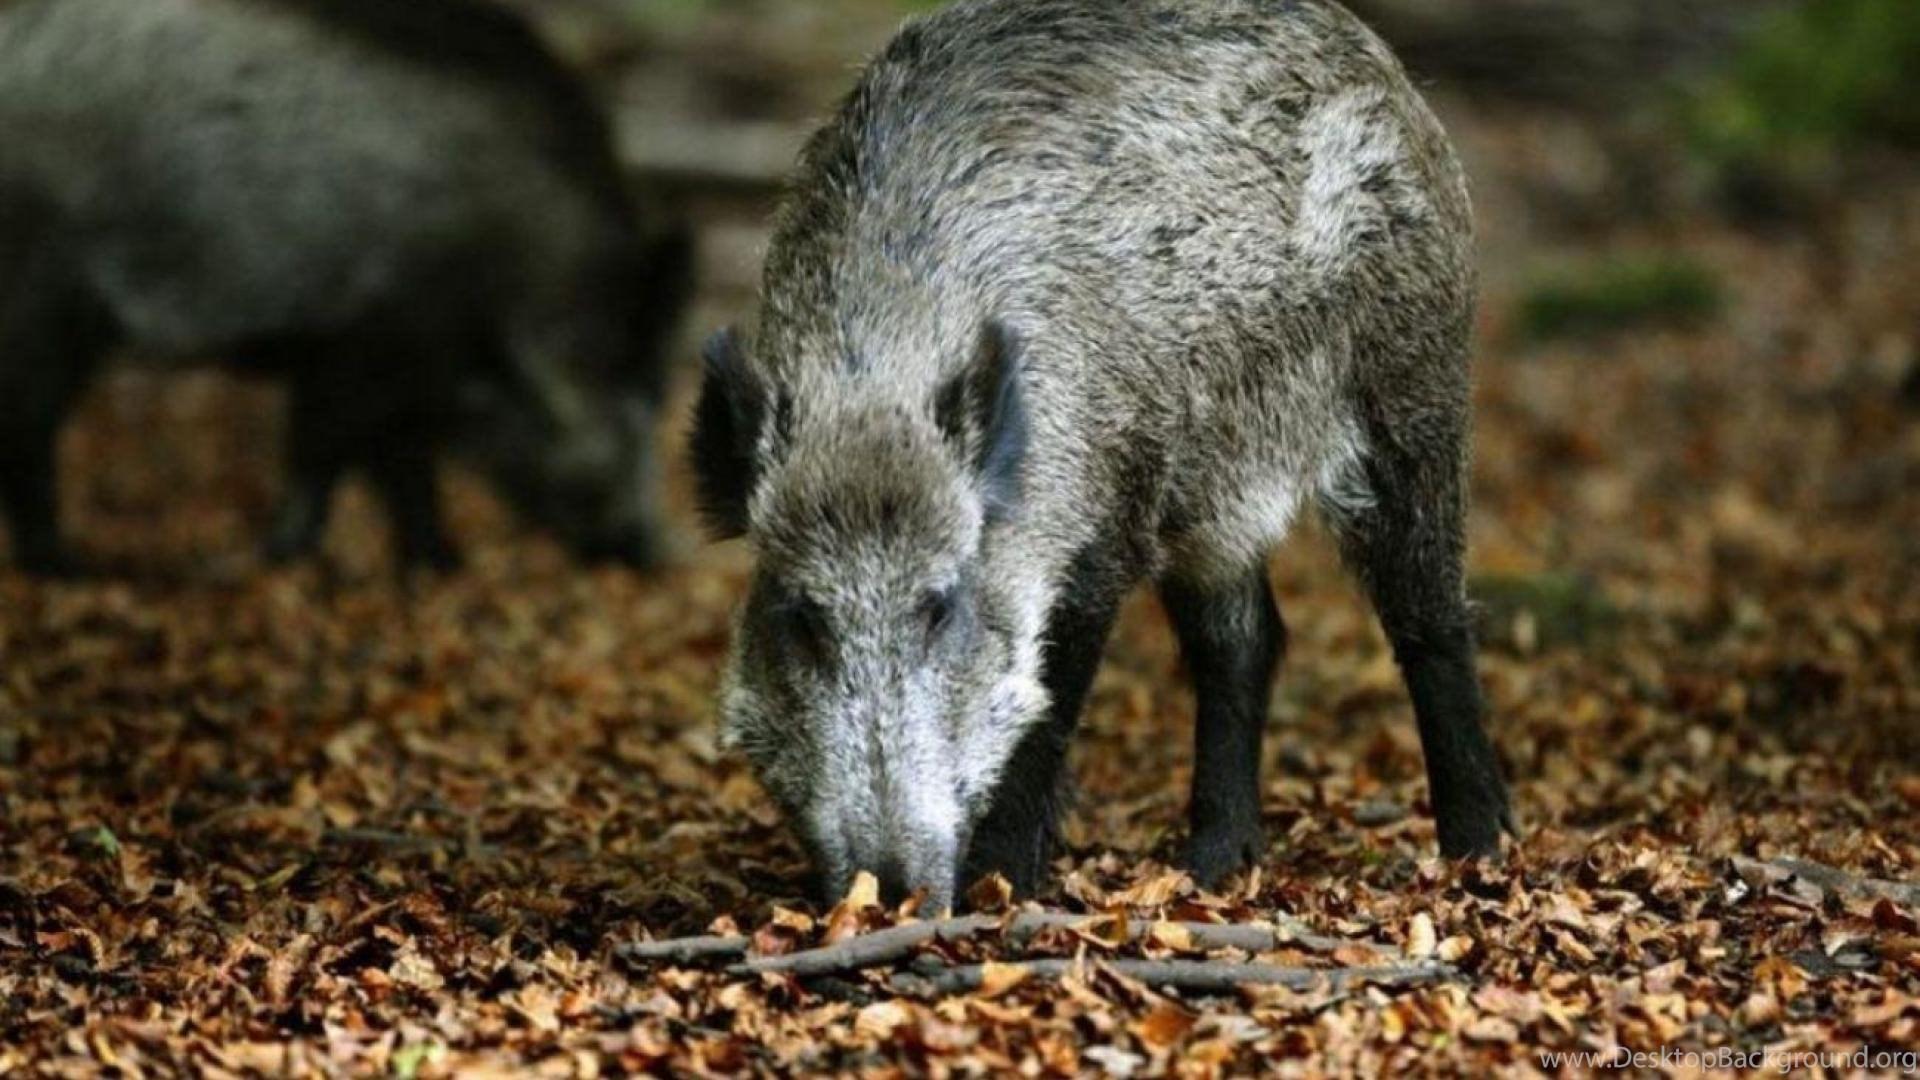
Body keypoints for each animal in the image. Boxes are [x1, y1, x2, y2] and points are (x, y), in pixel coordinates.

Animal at [0, 0, 692, 574]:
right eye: (631, 389)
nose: (654, 556)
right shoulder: (366, 337)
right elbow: (326, 454)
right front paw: (278, 560)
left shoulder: (409, 370)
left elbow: (402, 472)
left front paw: (440, 566)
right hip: (41, 286)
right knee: (29, 427)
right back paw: (72, 565)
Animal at [692, 0, 1515, 911]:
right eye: (802, 617)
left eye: (941, 606)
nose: (892, 889)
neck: (877, 382)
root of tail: (1389, 72)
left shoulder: (1103, 525)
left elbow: (1046, 708)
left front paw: (998, 889)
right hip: (1211, 493)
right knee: (1244, 640)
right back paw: (1212, 868)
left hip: (1414, 390)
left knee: (1430, 618)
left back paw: (1478, 855)